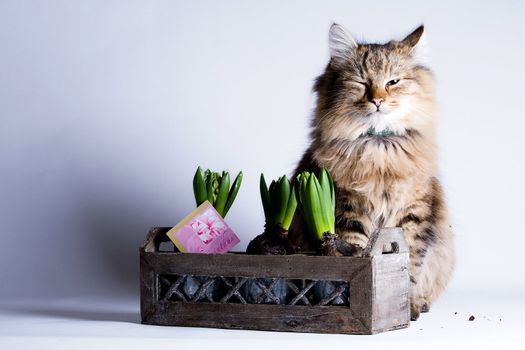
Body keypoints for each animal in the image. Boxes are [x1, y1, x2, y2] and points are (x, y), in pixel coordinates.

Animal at [288, 23, 452, 320]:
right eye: (362, 83)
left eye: (393, 82)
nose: (377, 100)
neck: (380, 150)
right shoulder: (348, 211)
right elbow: (354, 253)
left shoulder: (414, 213)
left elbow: (410, 265)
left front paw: (407, 306)